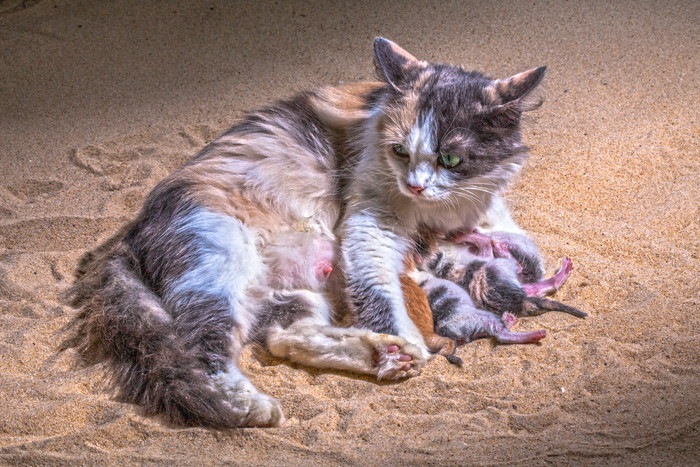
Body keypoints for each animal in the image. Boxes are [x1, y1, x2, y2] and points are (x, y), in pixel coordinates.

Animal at [64, 38, 548, 430]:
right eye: (399, 151)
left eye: (450, 158)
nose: (414, 185)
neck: (440, 208)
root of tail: (128, 235)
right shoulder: (370, 223)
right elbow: (379, 290)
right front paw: (408, 334)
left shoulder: (477, 200)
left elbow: (501, 221)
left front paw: (523, 256)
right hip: (217, 264)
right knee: (204, 351)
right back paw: (255, 403)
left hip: (294, 295)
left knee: (285, 338)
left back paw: (379, 354)